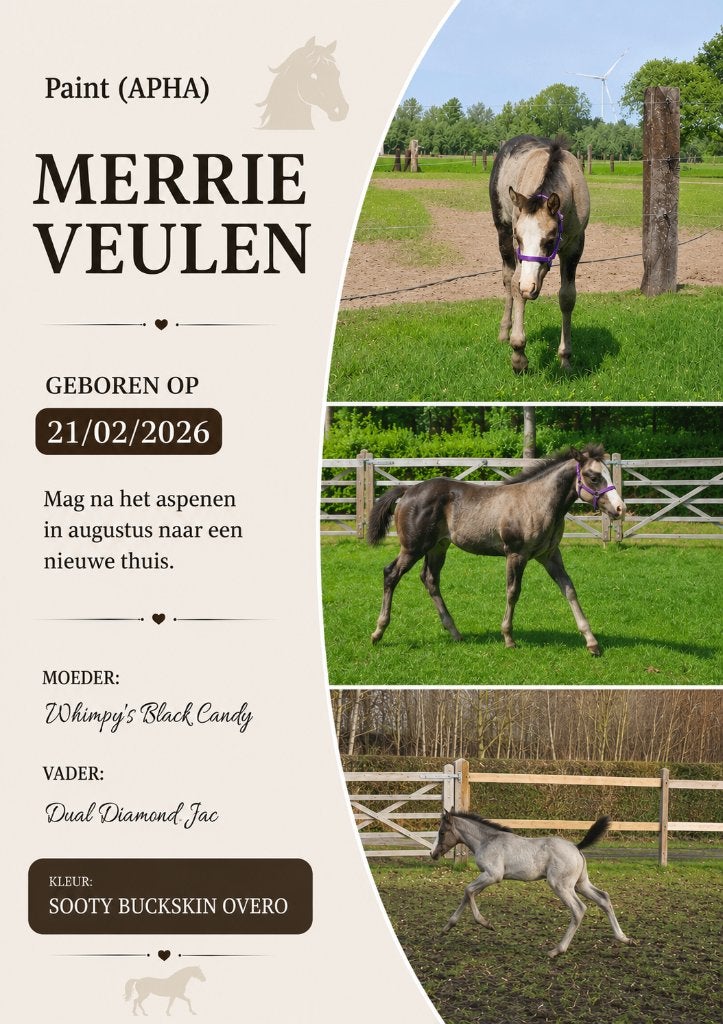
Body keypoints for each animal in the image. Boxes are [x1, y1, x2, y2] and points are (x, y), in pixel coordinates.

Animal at [368, 444, 625, 656]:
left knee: (430, 579)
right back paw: (378, 632)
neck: (537, 502)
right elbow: (513, 592)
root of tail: (408, 491)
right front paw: (509, 638)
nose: (620, 508)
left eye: (607, 474)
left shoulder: (550, 556)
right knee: (391, 574)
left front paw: (592, 643)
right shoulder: (516, 555)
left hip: (438, 547)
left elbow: (569, 590)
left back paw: (455, 633)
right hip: (413, 547)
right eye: (593, 477)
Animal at [431, 810, 632, 958]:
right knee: (604, 898)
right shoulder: (485, 877)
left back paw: (556, 950)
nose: (433, 854)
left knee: (579, 909)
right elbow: (468, 894)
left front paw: (486, 923)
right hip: (580, 884)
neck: (487, 841)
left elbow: (468, 890)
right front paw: (446, 928)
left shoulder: (493, 875)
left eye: (442, 832)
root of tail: (576, 847)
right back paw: (624, 938)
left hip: (561, 885)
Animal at [489, 135, 590, 373]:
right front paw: (518, 354)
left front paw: (565, 357)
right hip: (502, 233)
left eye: (550, 240)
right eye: (518, 237)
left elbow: (567, 297)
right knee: (508, 279)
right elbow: (515, 284)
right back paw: (504, 331)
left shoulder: (574, 247)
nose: (529, 287)